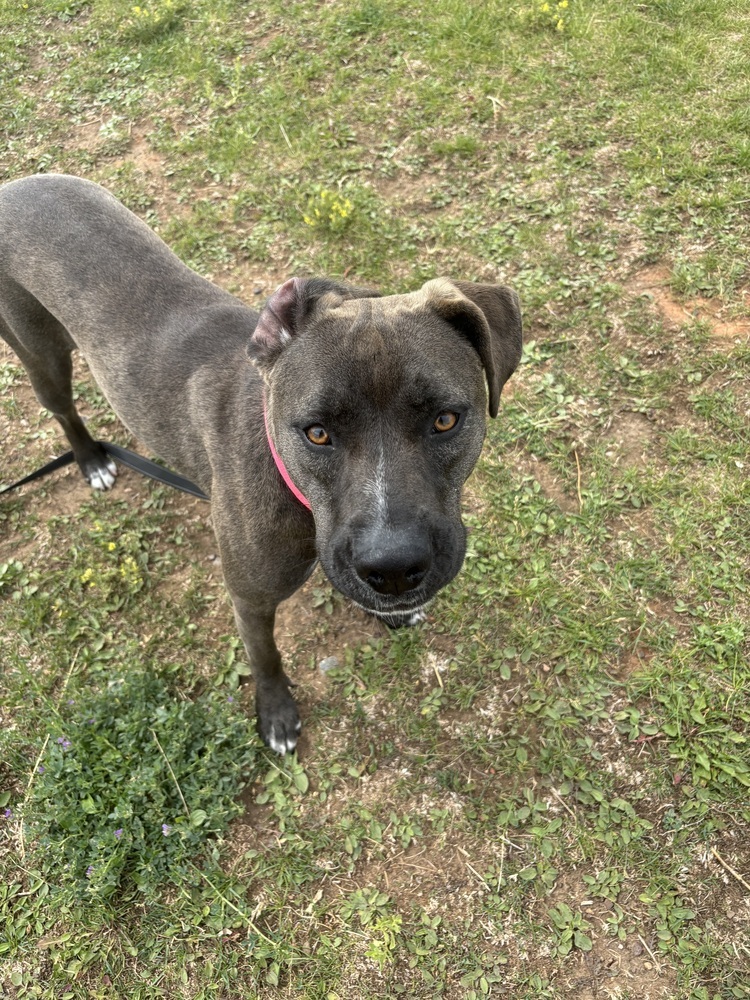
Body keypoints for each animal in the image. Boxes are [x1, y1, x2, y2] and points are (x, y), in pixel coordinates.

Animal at [0, 174, 524, 752]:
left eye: (445, 420)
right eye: (317, 432)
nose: (392, 569)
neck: (291, 488)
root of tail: (16, 185)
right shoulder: (249, 599)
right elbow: (265, 656)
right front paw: (276, 714)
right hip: (41, 356)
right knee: (64, 409)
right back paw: (91, 458)